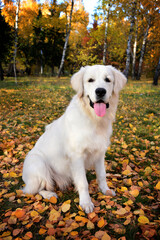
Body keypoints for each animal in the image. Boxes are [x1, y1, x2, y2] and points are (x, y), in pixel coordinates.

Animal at [22, 64, 127, 213]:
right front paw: (86, 202)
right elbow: (83, 182)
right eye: (90, 80)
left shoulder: (100, 153)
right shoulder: (77, 156)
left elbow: (102, 175)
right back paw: (49, 194)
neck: (93, 119)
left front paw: (105, 190)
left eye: (108, 80)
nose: (100, 91)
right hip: (38, 163)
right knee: (33, 190)